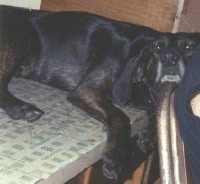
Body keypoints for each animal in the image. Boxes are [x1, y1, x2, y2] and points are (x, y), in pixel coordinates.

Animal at [0, 5, 200, 180]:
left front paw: (149, 135)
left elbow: (158, 109)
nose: (169, 58)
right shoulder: (85, 90)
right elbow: (120, 116)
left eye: (190, 47)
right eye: (157, 49)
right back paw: (22, 109)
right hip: (22, 36)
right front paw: (114, 157)